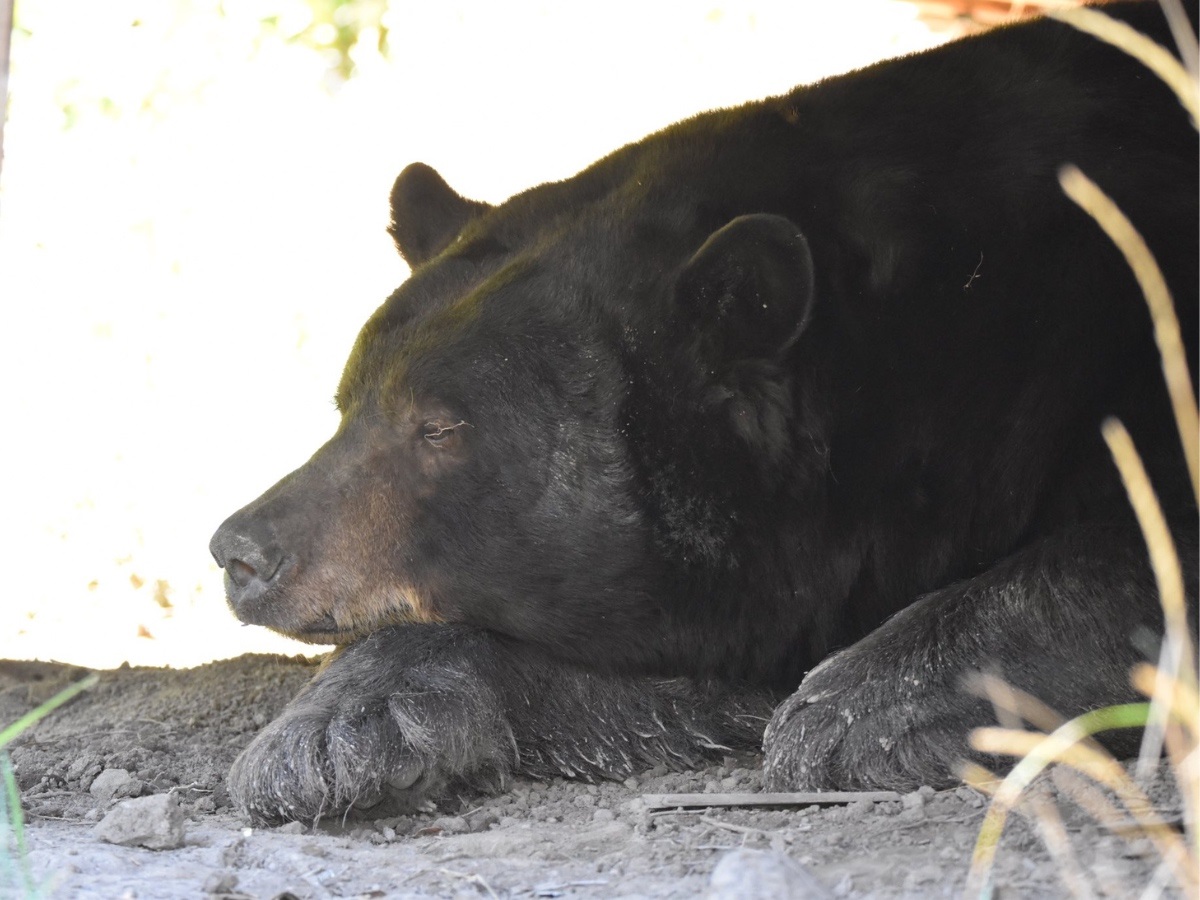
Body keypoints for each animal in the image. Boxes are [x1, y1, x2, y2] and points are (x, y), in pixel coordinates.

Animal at [210, 2, 1198, 826]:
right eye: (347, 404)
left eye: (440, 428)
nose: (239, 550)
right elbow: (680, 673)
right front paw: (332, 726)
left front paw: (861, 704)